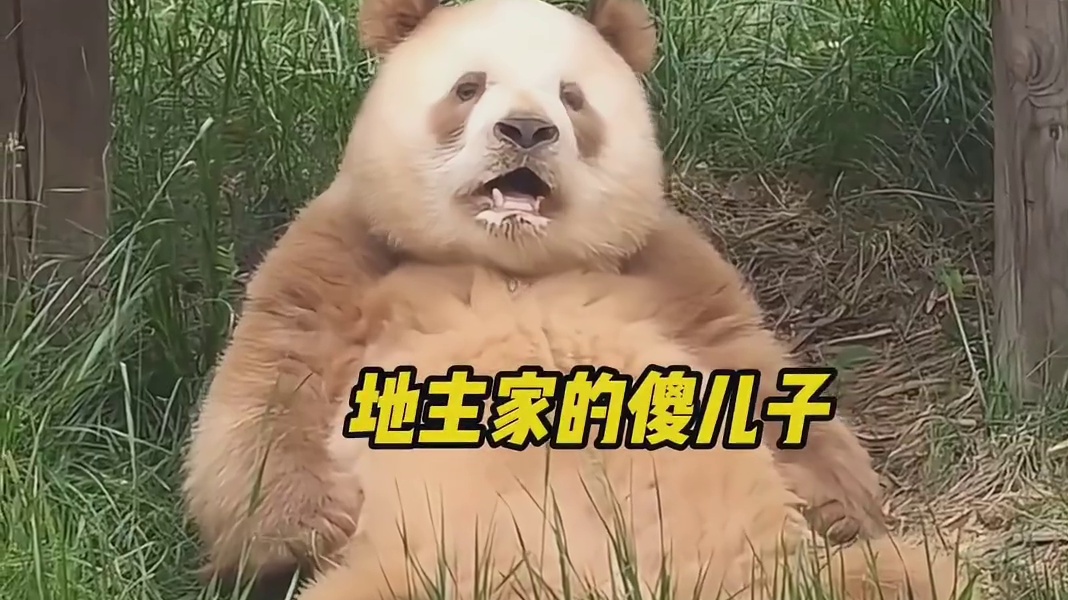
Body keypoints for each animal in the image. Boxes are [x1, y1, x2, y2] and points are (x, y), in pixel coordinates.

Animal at [180, 0, 884, 590]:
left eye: (572, 98)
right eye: (468, 87)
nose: (525, 130)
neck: (515, 262)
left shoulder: (670, 269)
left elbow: (753, 366)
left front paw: (843, 508)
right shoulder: (342, 254)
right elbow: (271, 382)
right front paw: (305, 532)